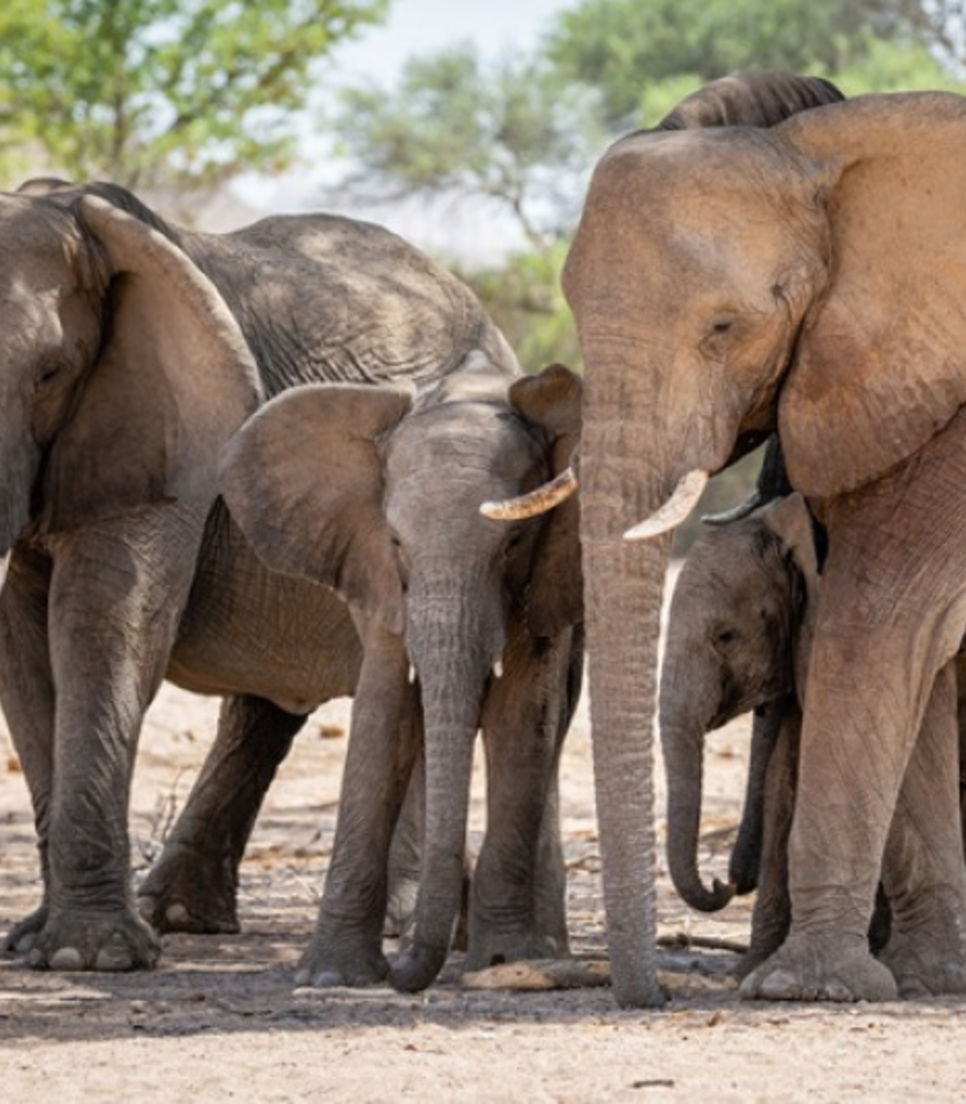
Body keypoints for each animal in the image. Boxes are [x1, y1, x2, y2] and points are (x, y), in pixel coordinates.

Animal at [0, 176, 532, 971]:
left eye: (49, 373)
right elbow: (27, 647)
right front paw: (38, 943)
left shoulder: (170, 434)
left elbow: (105, 622)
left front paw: (84, 959)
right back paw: (178, 915)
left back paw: (401, 922)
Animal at [499, 83, 966, 1002]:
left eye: (723, 327)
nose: (652, 1000)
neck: (824, 155)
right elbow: (917, 657)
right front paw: (930, 977)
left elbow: (883, 621)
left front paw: (807, 988)